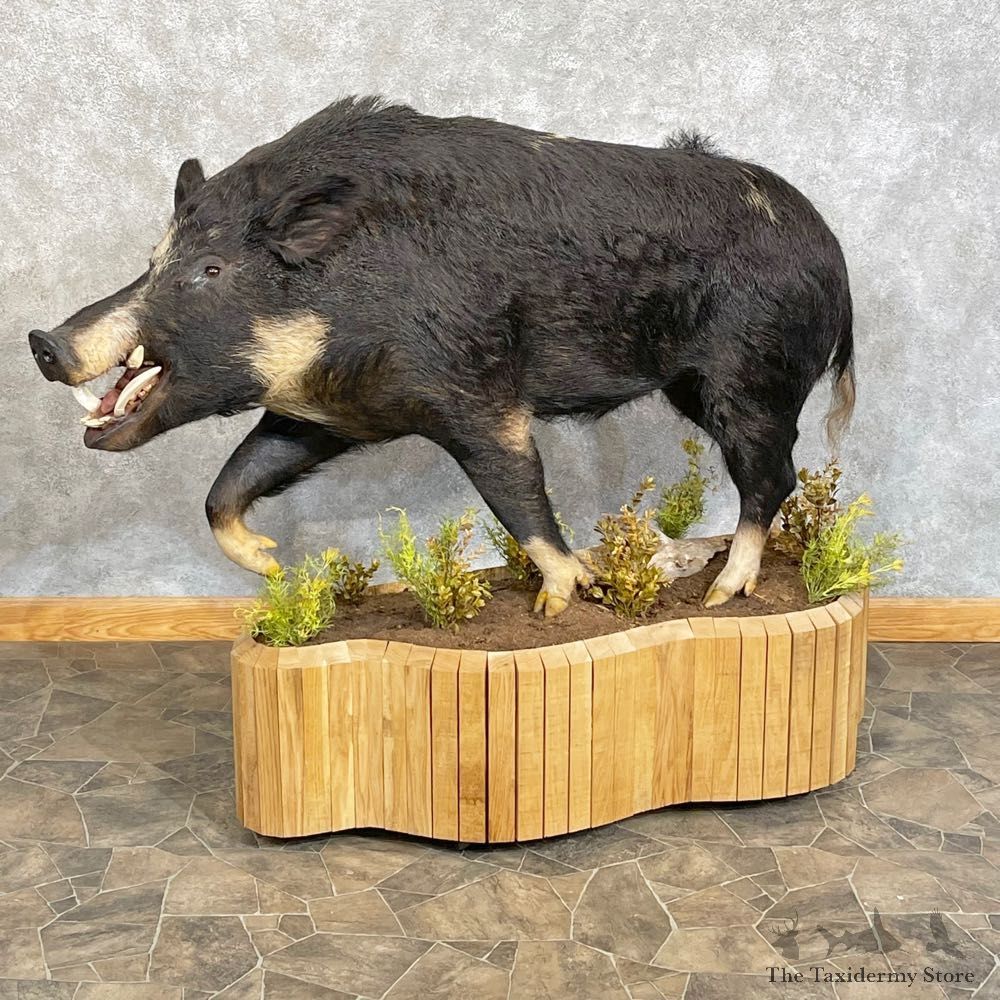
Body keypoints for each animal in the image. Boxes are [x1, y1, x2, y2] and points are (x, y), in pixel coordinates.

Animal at [29, 96, 854, 615]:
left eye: (212, 270)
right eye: (154, 259)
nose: (42, 340)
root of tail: (834, 257)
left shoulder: (475, 391)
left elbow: (516, 491)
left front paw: (565, 599)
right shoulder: (322, 415)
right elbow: (229, 484)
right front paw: (273, 563)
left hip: (752, 374)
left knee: (772, 474)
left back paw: (721, 595)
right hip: (701, 383)